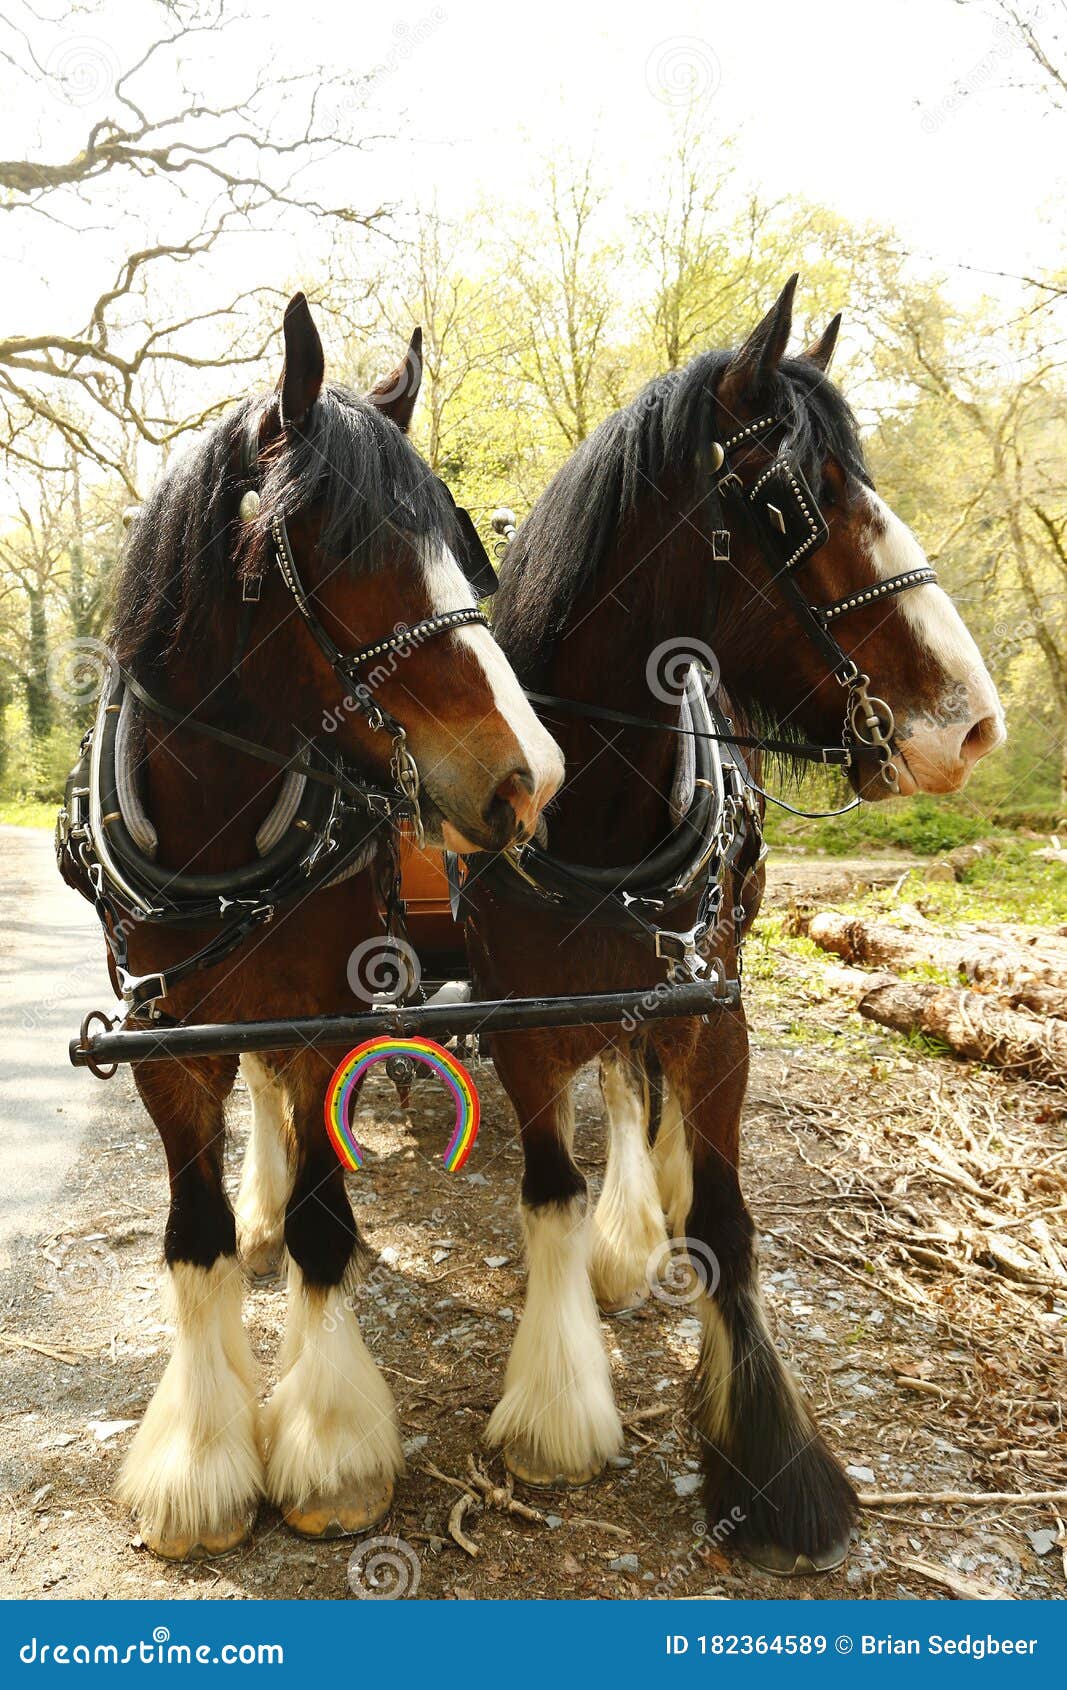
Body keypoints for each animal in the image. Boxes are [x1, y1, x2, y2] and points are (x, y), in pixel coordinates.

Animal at [95, 297, 564, 1561]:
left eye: (464, 541)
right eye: (349, 548)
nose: (530, 774)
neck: (216, 825)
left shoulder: (323, 1015)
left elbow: (323, 1225)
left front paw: (329, 1445)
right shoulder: (163, 1042)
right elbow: (194, 1237)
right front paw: (202, 1461)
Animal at [463, 273, 1007, 1568]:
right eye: (790, 502)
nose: (972, 722)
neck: (596, 814)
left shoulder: (714, 1011)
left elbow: (723, 1213)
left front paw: (769, 1464)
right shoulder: (520, 1024)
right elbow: (548, 1186)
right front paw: (556, 1404)